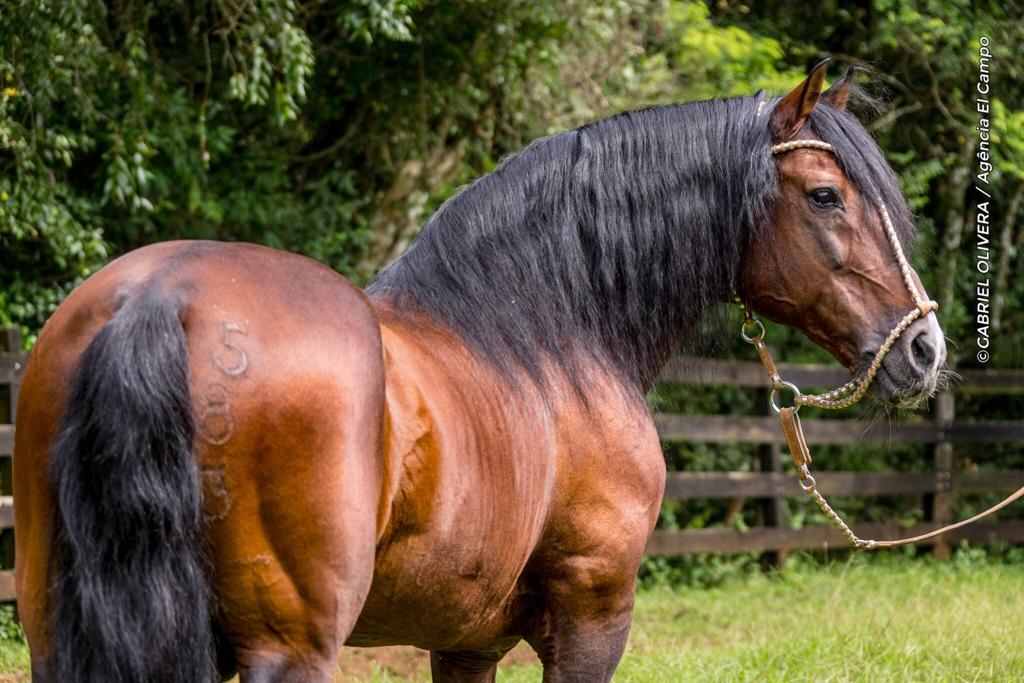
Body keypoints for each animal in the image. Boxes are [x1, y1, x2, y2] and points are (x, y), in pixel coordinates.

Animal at [14, 61, 942, 679]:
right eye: (825, 195)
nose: (925, 348)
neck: (548, 332)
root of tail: (162, 294)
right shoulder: (594, 614)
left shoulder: (465, 639)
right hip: (292, 648)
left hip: (62, 634)